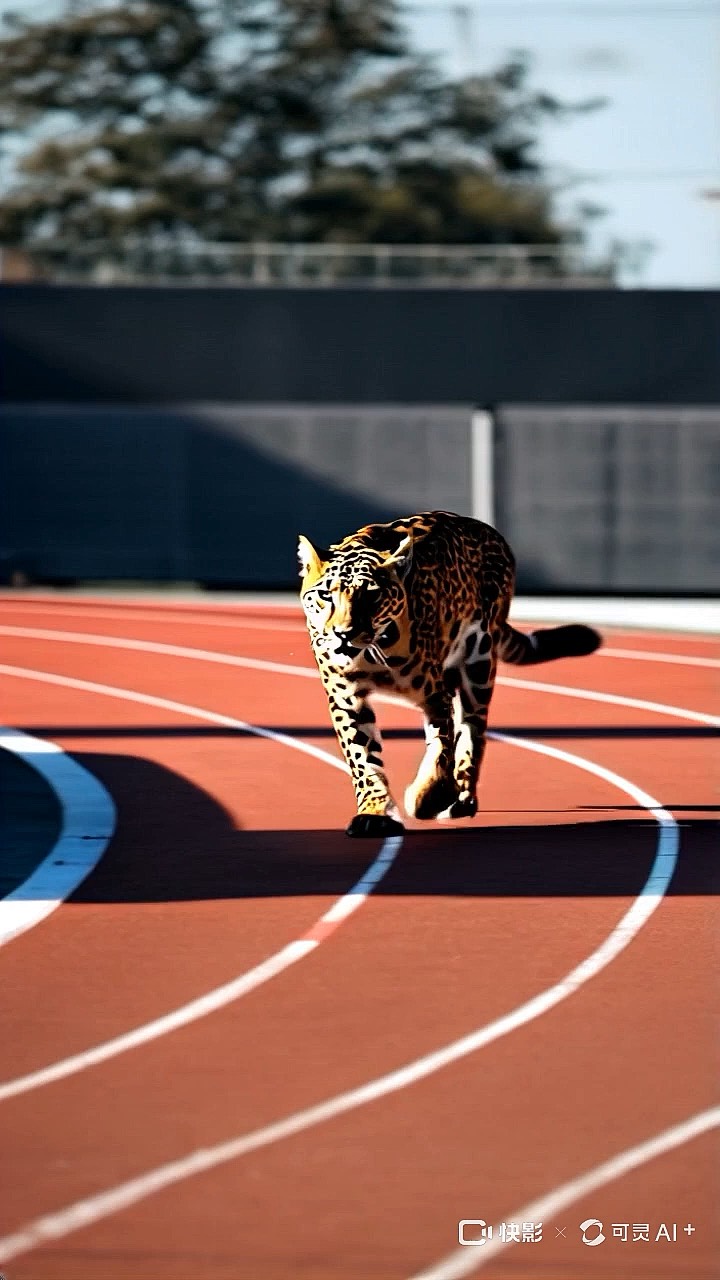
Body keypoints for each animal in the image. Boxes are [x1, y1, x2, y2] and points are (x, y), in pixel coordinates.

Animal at [297, 509, 599, 839]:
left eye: (372, 597)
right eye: (326, 595)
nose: (343, 633)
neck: (372, 651)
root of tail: (492, 533)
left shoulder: (433, 694)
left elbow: (442, 747)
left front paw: (429, 796)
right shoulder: (346, 697)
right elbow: (362, 758)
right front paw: (374, 813)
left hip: (479, 659)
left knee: (472, 729)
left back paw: (463, 798)